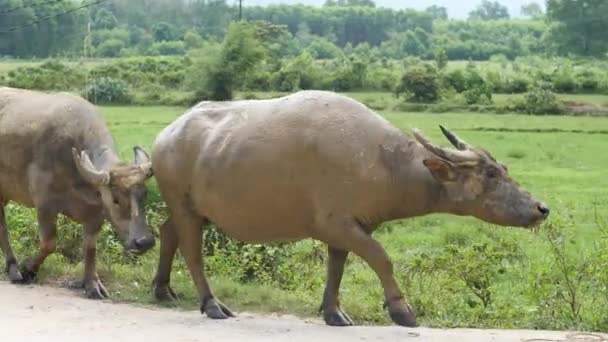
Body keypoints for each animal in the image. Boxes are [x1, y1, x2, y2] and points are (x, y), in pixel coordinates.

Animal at [0, 87, 156, 298]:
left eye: (144, 195)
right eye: (115, 200)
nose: (144, 242)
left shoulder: (96, 213)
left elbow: (90, 249)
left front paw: (92, 284)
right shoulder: (45, 205)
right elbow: (49, 244)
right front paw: (29, 268)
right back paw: (14, 268)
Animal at [152, 90, 552, 326]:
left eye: (503, 168)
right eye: (490, 173)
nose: (541, 208)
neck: (383, 163)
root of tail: (166, 135)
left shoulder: (349, 228)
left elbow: (337, 268)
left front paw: (333, 312)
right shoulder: (339, 224)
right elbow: (381, 258)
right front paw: (401, 310)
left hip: (190, 209)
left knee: (168, 232)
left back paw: (162, 290)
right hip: (186, 206)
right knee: (192, 251)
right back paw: (211, 304)